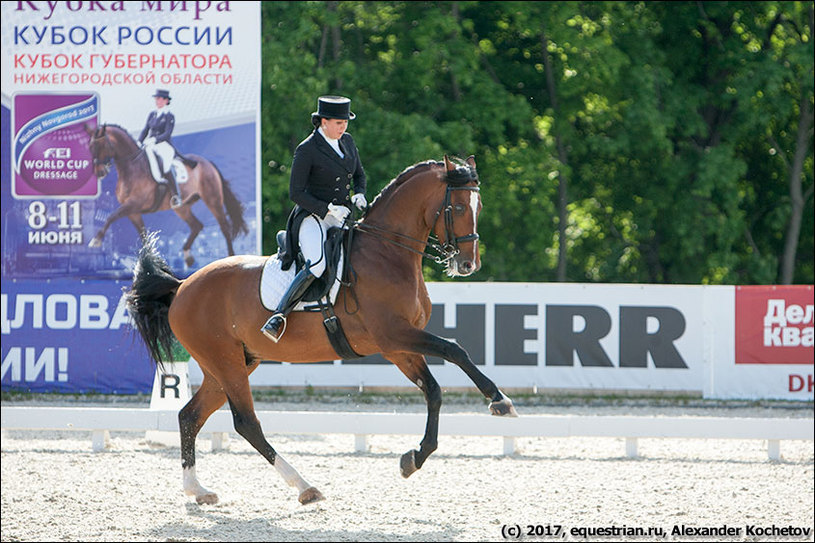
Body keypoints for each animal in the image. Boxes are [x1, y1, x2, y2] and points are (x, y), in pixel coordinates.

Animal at [85, 124, 249, 268]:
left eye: (102, 146)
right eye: (91, 148)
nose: (100, 173)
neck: (132, 167)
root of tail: (208, 163)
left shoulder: (134, 203)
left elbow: (111, 216)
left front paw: (96, 240)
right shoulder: (133, 212)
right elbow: (143, 236)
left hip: (212, 199)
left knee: (224, 227)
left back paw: (230, 258)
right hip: (182, 207)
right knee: (197, 225)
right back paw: (188, 257)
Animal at [126, 155, 516, 508]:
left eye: (478, 206)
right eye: (460, 206)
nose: (468, 264)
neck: (387, 253)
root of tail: (182, 286)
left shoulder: (398, 347)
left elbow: (433, 390)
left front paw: (413, 459)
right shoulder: (394, 335)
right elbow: (454, 349)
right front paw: (499, 401)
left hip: (230, 364)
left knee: (190, 416)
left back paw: (198, 490)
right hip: (226, 363)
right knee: (246, 423)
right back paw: (304, 487)